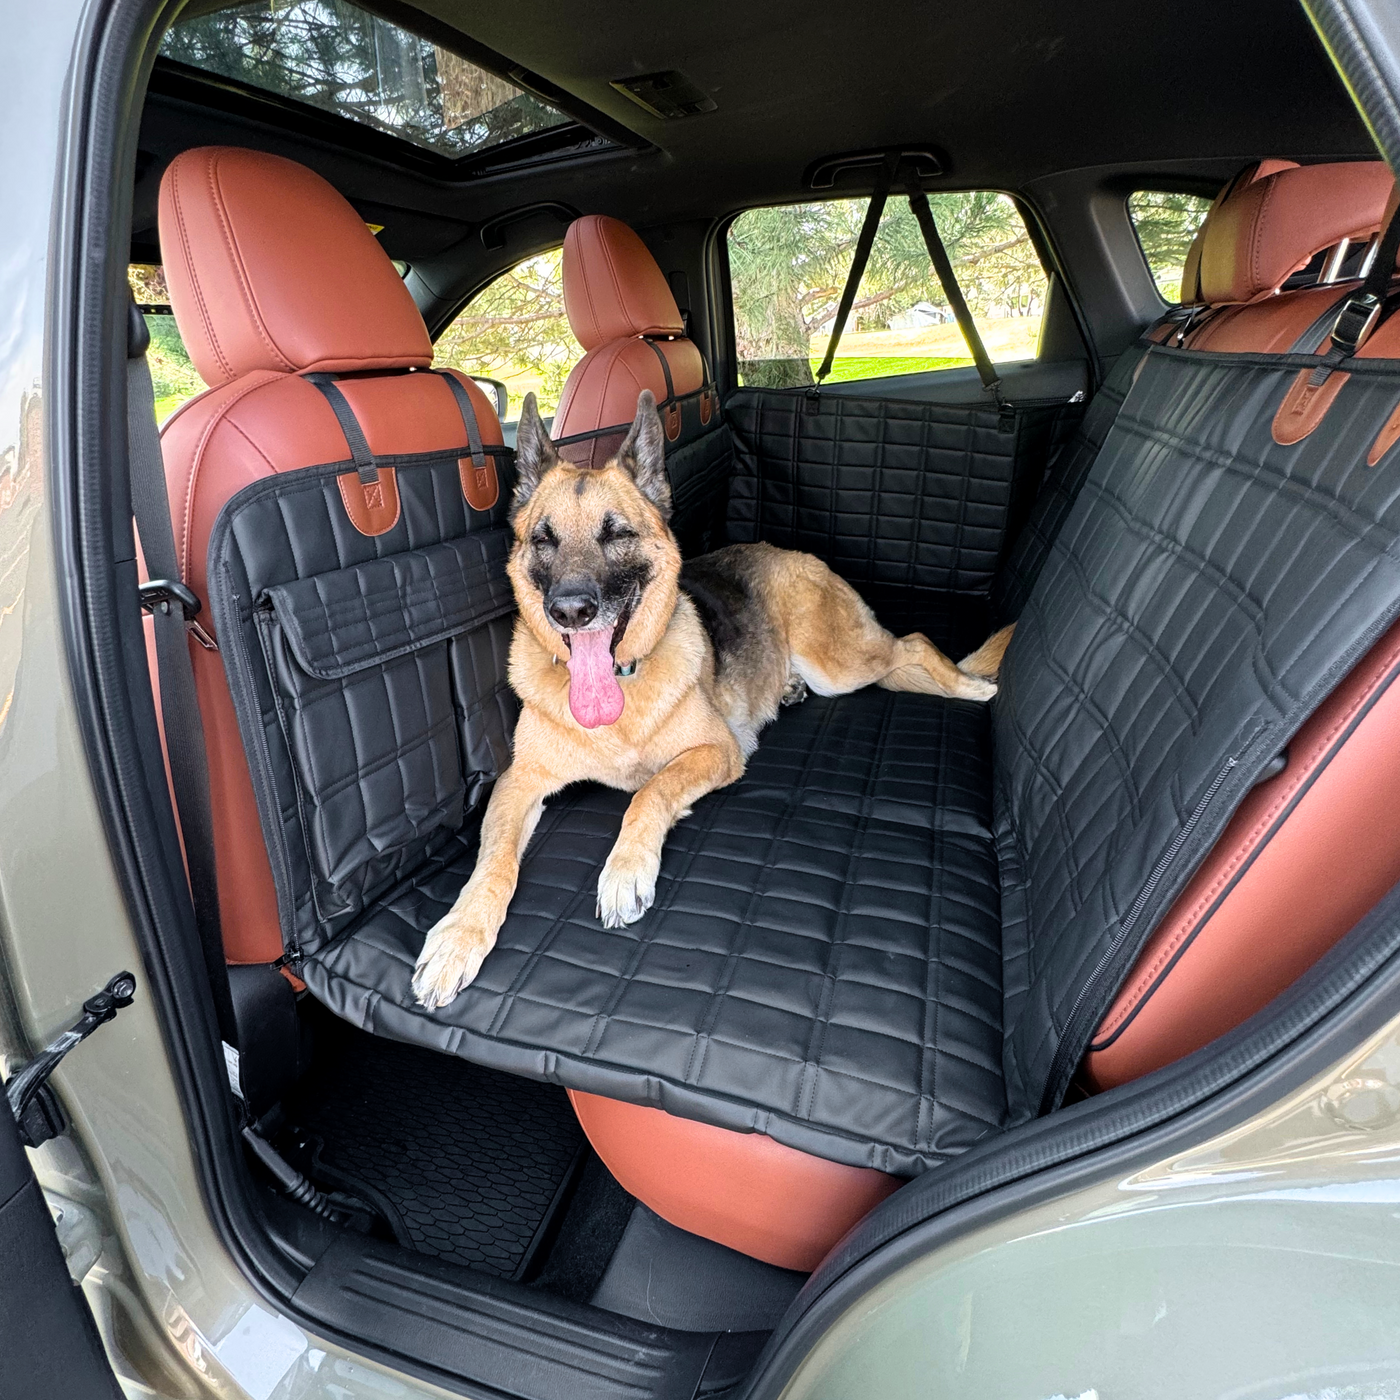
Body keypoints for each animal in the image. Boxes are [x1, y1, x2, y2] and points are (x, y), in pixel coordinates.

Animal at [408, 389, 1013, 1013]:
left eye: (616, 534)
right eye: (544, 539)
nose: (570, 610)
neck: (623, 688)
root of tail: (786, 550)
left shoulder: (716, 751)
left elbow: (648, 793)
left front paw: (626, 869)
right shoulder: (517, 783)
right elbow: (493, 862)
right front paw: (459, 935)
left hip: (840, 665)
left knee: (911, 644)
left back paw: (971, 684)